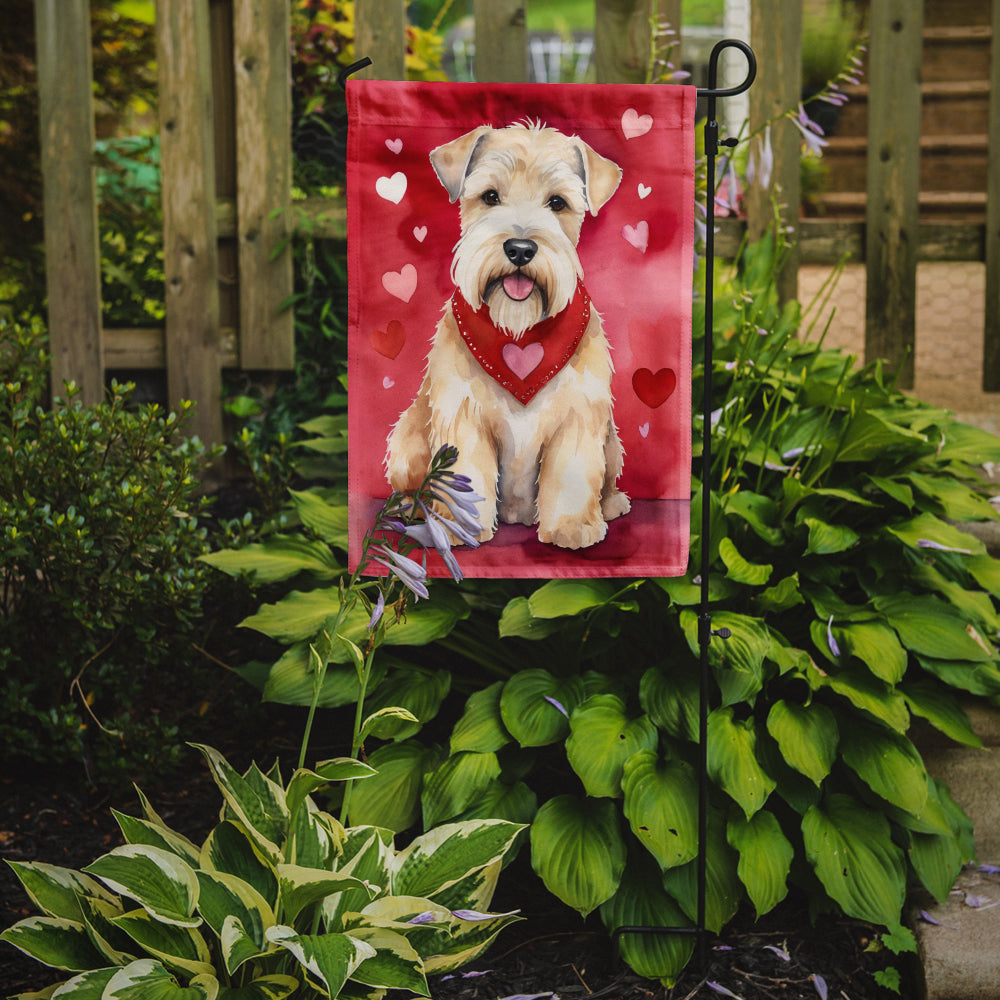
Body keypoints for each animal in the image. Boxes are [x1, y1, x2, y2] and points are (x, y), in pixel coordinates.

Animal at [384, 123, 628, 556]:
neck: (519, 333)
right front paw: (459, 529)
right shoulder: (463, 416)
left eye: (557, 202)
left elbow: (572, 474)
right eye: (490, 196)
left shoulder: (578, 415)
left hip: (611, 441)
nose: (520, 249)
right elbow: (465, 476)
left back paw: (610, 505)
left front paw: (571, 527)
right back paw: (413, 509)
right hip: (406, 441)